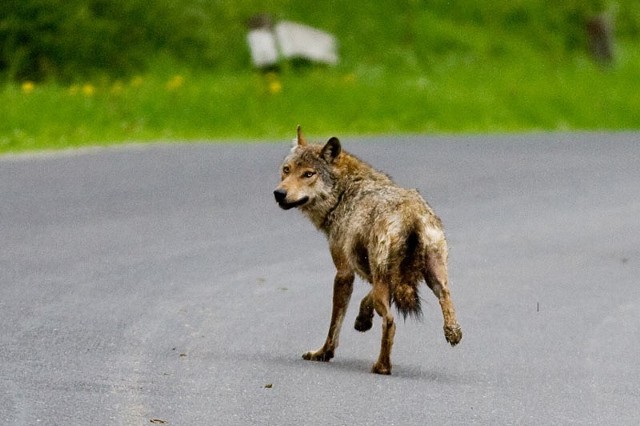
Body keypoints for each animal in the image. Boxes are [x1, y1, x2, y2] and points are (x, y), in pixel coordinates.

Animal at [274, 128, 460, 374]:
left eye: (308, 174)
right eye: (286, 170)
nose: (279, 193)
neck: (343, 193)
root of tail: (409, 213)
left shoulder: (344, 272)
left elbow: (334, 324)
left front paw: (323, 353)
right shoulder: (378, 276)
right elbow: (366, 298)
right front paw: (362, 320)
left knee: (390, 322)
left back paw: (382, 366)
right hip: (435, 279)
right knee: (446, 300)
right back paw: (453, 334)